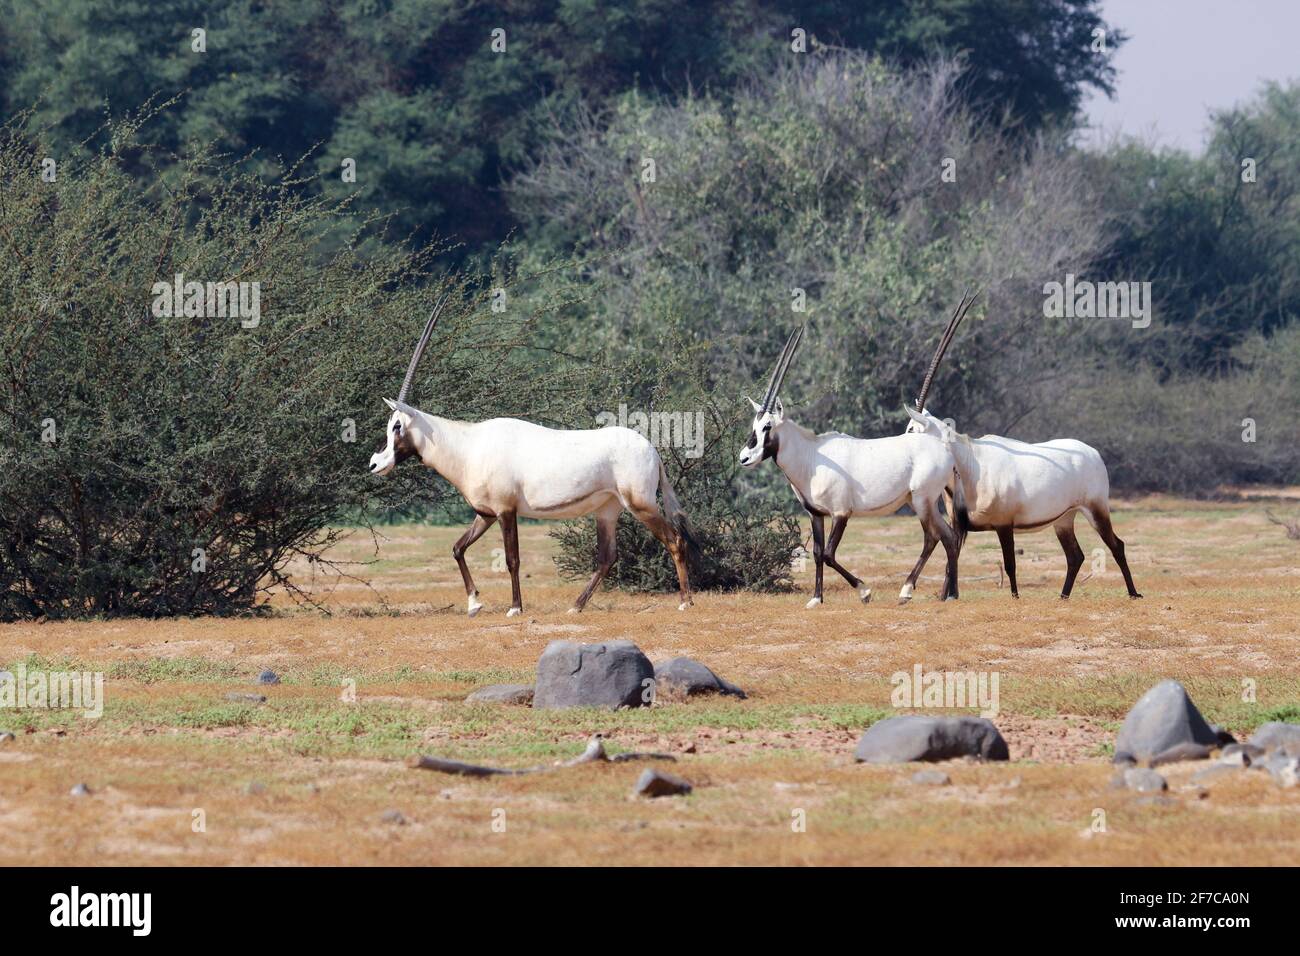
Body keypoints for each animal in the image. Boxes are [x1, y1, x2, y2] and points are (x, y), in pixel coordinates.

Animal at [369, 299, 697, 616]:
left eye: (397, 425)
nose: (375, 464)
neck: (468, 445)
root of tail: (652, 450)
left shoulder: (505, 511)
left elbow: (512, 559)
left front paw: (515, 607)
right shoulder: (486, 513)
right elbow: (457, 548)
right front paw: (474, 603)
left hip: (640, 504)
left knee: (674, 540)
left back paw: (685, 601)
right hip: (608, 510)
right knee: (608, 556)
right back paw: (576, 606)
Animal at [738, 324, 966, 607]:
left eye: (767, 426)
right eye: (754, 426)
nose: (744, 458)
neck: (811, 456)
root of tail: (946, 451)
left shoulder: (841, 513)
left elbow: (828, 554)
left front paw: (864, 591)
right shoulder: (815, 514)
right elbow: (817, 553)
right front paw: (816, 599)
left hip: (923, 500)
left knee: (934, 537)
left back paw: (911, 591)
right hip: (920, 502)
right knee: (947, 537)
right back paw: (948, 593)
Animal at [900, 290, 1142, 601]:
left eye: (910, 429)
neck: (970, 465)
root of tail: (1093, 453)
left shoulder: (1005, 524)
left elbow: (1010, 563)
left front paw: (1014, 597)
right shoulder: (959, 525)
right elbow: (950, 556)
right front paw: (946, 595)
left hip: (1096, 509)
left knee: (1116, 544)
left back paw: (1133, 593)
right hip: (1064, 519)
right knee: (1075, 555)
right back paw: (1063, 596)